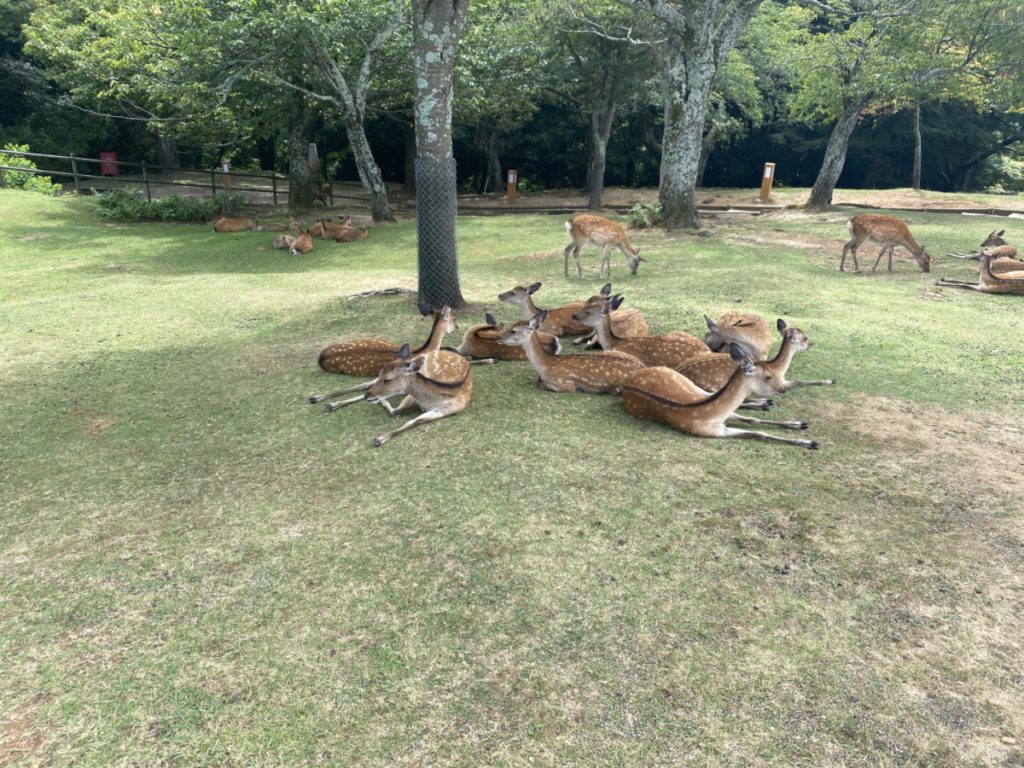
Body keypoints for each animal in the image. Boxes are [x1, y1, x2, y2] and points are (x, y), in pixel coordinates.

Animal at [495, 310, 646, 394]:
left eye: (513, 331)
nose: (498, 338)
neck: (545, 366)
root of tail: (642, 367)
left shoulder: (563, 384)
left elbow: (540, 384)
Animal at [619, 343, 819, 449]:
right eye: (768, 376)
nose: (782, 390)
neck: (710, 414)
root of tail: (626, 382)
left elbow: (753, 421)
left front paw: (798, 424)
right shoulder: (713, 432)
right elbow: (758, 432)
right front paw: (809, 442)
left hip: (690, 384)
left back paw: (764, 403)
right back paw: (763, 403)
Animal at [678, 319, 834, 394]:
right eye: (804, 338)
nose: (811, 344)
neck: (778, 369)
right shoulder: (780, 382)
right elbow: (799, 381)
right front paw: (831, 380)